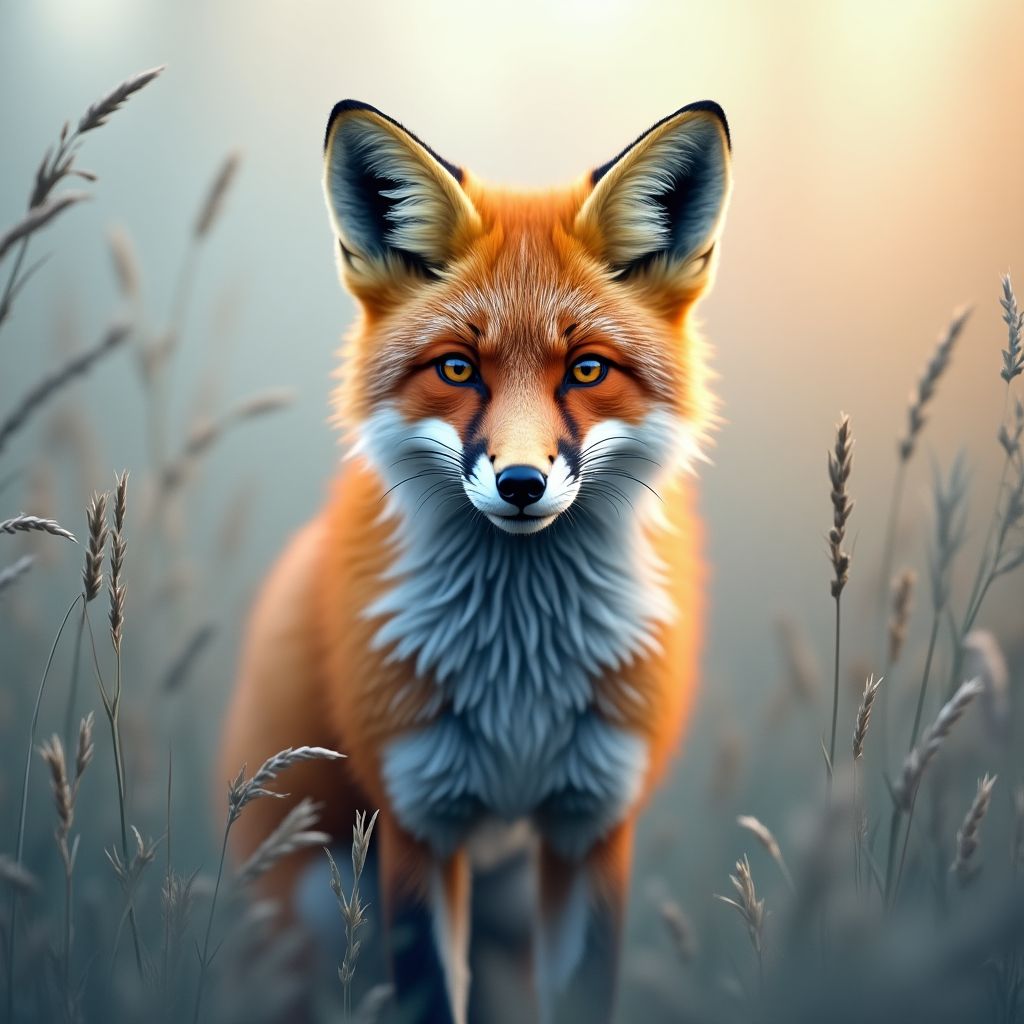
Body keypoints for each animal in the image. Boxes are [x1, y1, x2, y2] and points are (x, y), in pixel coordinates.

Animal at [219, 98, 732, 1024]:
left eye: (586, 370)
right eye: (458, 368)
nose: (522, 483)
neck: (520, 679)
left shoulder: (593, 822)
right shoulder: (419, 817)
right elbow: (427, 996)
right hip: (305, 911)